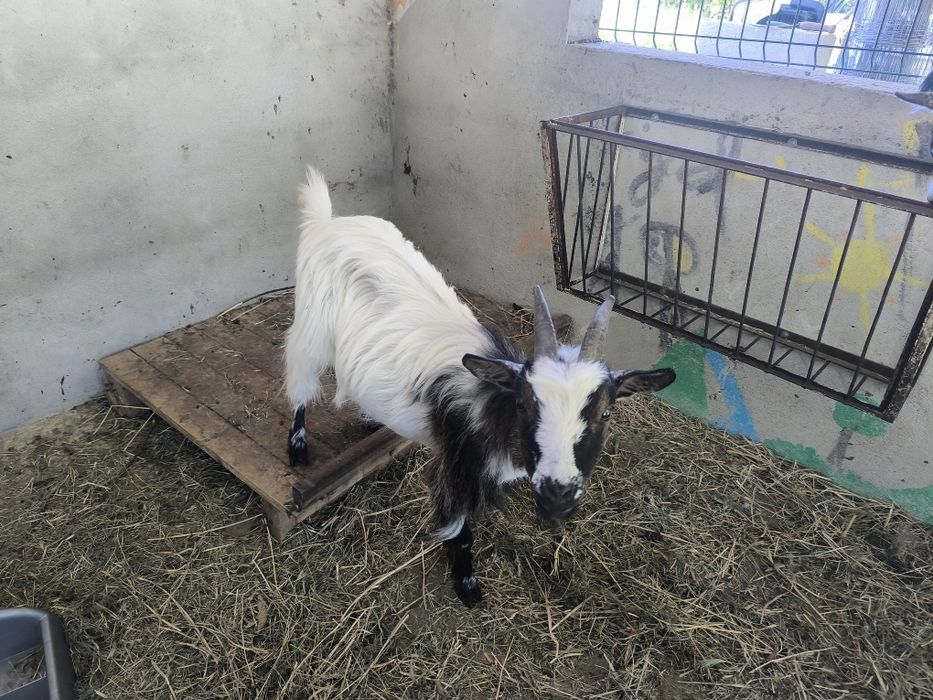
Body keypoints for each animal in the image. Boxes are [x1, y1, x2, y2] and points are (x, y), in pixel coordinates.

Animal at [284, 166, 676, 607]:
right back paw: (297, 448)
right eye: (524, 405)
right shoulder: (457, 464)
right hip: (311, 327)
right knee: (300, 382)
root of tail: (328, 221)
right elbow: (459, 528)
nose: (558, 494)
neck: (493, 405)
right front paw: (467, 586)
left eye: (606, 412)